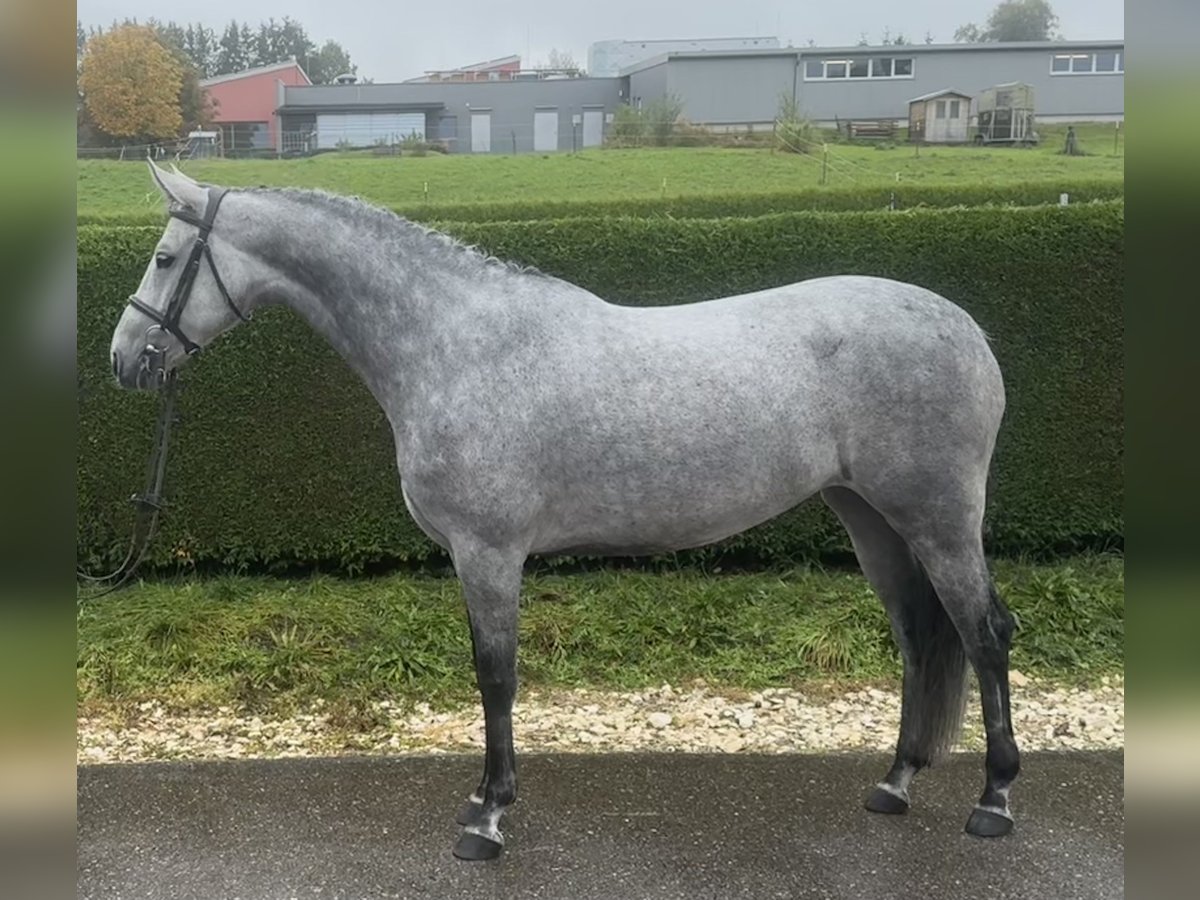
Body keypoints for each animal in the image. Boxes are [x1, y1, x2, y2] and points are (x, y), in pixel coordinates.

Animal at [108, 162, 1017, 859]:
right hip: (871, 520)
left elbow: (496, 676)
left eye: (164, 256)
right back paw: (895, 784)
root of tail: (968, 331)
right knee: (920, 638)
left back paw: (994, 803)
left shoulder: (488, 552)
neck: (453, 346)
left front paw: (487, 818)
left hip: (937, 521)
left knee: (983, 635)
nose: (124, 361)